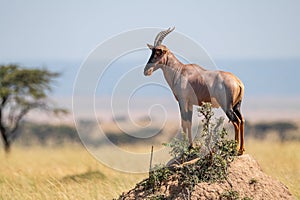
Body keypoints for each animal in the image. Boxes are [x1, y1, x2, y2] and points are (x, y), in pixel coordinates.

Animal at [144, 27, 245, 155]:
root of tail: (238, 82)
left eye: (158, 52)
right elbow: (189, 122)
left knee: (236, 122)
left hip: (227, 106)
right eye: (152, 51)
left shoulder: (182, 101)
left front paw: (186, 147)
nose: (146, 71)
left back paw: (234, 149)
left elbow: (184, 122)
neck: (180, 71)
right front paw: (190, 146)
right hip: (237, 106)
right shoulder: (190, 103)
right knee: (242, 120)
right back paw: (241, 149)